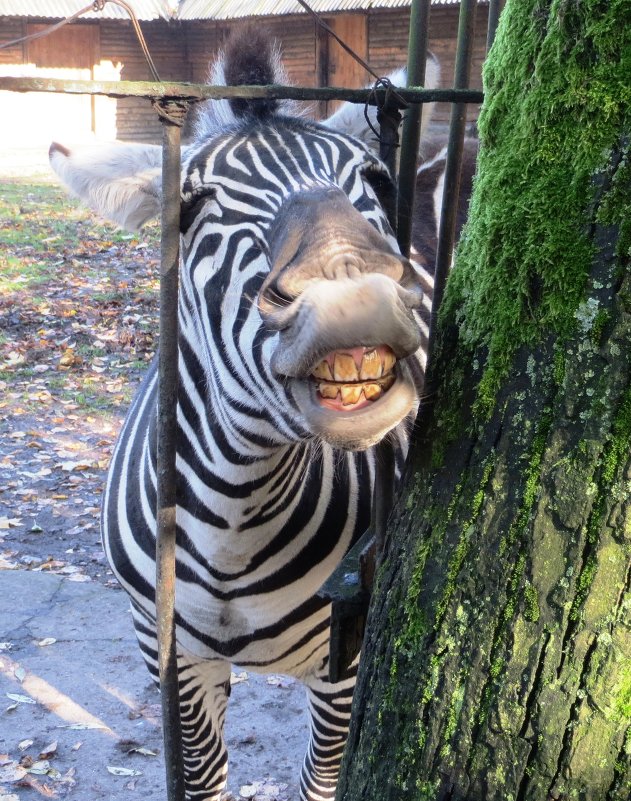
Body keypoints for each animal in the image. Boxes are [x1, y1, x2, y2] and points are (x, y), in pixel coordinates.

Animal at [49, 29, 470, 800]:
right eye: (191, 210)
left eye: (371, 182)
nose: (353, 299)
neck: (238, 518)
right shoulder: (171, 653)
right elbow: (201, 775)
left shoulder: (345, 654)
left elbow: (323, 778)